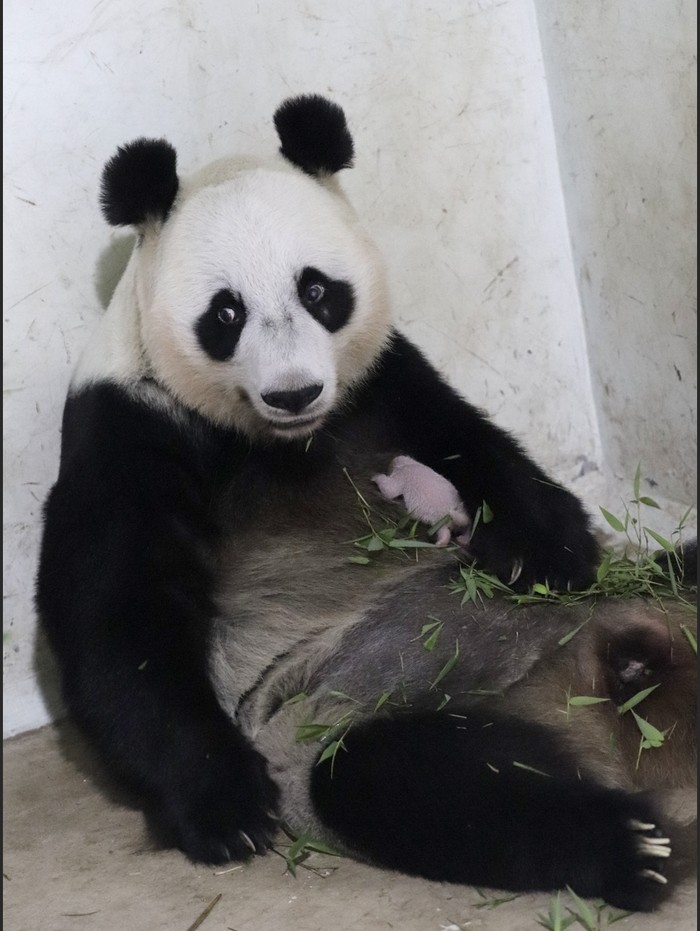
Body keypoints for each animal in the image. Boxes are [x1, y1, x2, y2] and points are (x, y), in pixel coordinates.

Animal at [36, 94, 696, 913]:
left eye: (317, 290)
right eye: (225, 314)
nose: (293, 391)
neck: (280, 443)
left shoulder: (381, 383)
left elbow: (470, 443)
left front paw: (549, 552)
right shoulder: (129, 427)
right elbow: (118, 619)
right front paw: (227, 809)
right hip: (346, 723)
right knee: (420, 785)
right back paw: (630, 846)